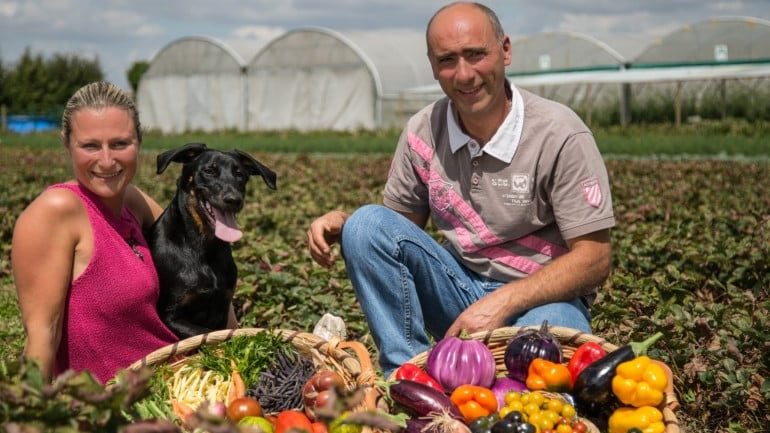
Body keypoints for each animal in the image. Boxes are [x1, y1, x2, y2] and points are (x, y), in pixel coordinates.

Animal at [146, 142, 276, 338]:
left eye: (240, 174)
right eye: (209, 171)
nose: (234, 199)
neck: (204, 246)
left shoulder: (222, 307)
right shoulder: (171, 316)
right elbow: (204, 333)